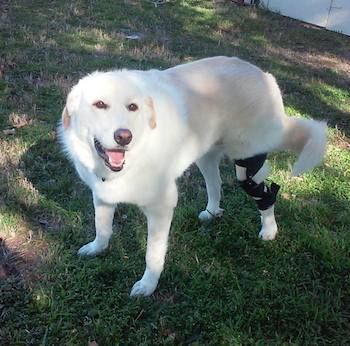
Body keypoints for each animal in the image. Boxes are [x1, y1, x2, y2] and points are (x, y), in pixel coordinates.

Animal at [58, 57, 328, 298]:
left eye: (132, 107)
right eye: (99, 104)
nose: (124, 137)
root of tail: (264, 74)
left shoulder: (161, 208)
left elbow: (152, 254)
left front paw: (148, 285)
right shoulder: (102, 195)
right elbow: (102, 228)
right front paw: (97, 248)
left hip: (247, 163)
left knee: (266, 194)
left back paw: (269, 230)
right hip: (206, 157)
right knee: (216, 183)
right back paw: (212, 212)